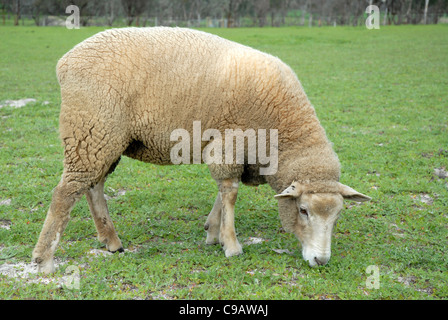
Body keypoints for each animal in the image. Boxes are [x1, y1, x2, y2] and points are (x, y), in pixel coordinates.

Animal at [32, 26, 372, 276]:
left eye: (338, 215)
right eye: (303, 210)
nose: (321, 261)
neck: (281, 131)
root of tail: (66, 62)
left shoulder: (232, 150)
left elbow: (224, 191)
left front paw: (212, 230)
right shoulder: (230, 142)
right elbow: (230, 191)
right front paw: (231, 245)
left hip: (106, 138)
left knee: (93, 186)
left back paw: (111, 241)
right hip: (89, 130)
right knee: (65, 193)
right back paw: (44, 259)